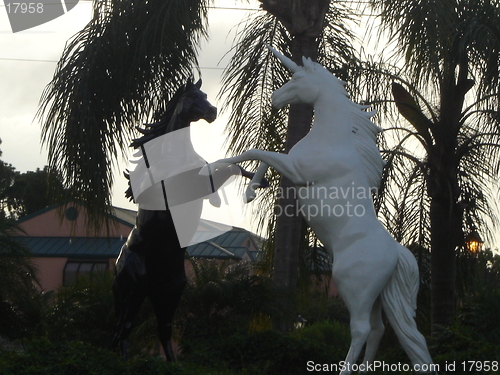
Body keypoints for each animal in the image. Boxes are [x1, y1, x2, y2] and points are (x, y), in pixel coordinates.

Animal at [203, 50, 434, 375]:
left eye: (298, 78)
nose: (274, 99)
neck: (333, 139)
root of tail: (396, 253)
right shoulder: (292, 167)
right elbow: (263, 157)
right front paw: (251, 190)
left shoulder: (297, 170)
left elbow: (257, 153)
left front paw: (214, 168)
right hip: (376, 296)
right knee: (379, 330)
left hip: (354, 288)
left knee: (361, 329)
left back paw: (346, 370)